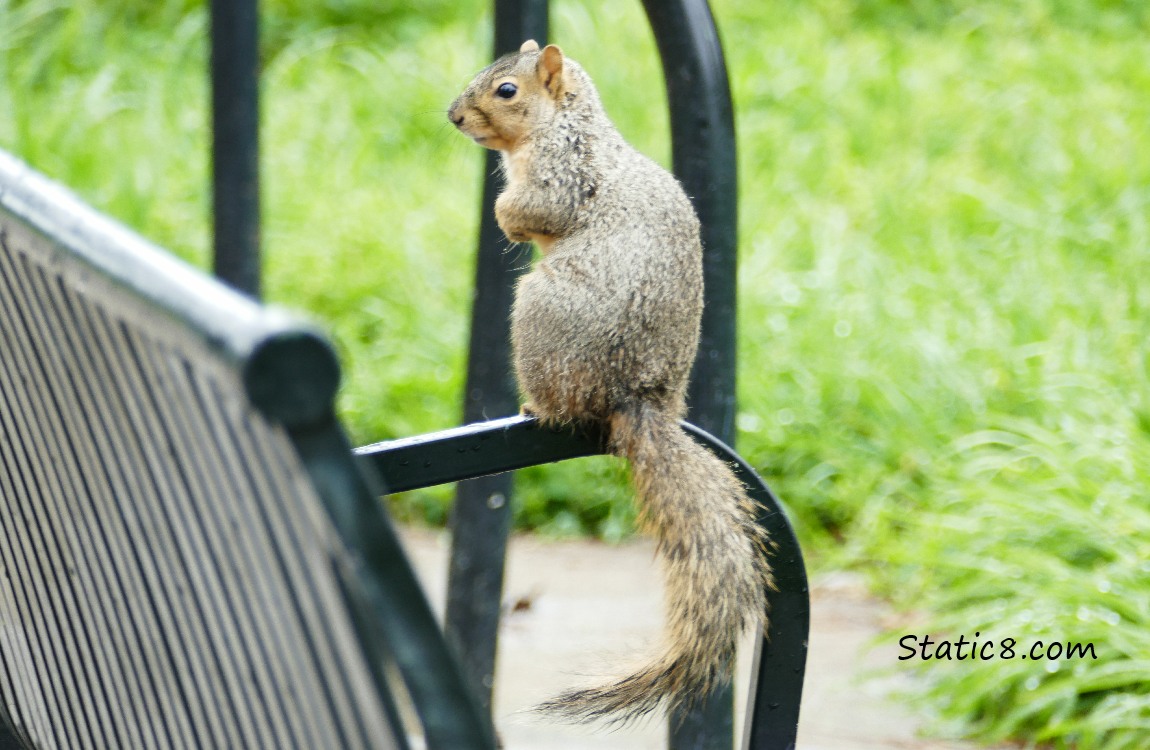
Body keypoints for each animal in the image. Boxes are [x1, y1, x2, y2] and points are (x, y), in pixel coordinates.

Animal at [448, 39, 772, 722]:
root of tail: (637, 398)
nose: (454, 116)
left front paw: (508, 220)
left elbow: (534, 209)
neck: (566, 121)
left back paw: (535, 405)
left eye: (506, 90)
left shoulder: (560, 173)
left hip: (538, 314)